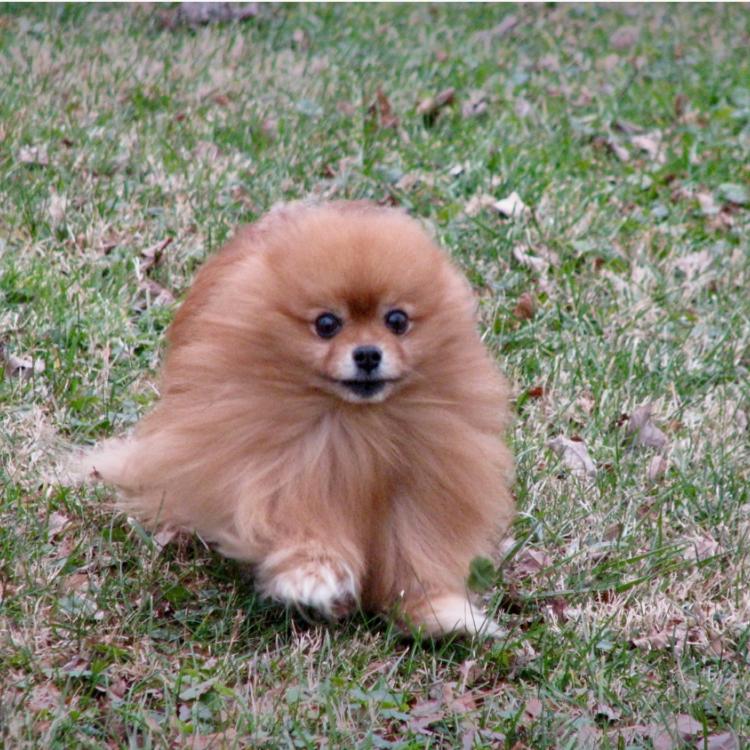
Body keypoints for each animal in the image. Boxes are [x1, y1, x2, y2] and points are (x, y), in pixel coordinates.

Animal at [85, 203, 516, 636]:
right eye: (327, 325)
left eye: (397, 321)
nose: (367, 354)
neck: (359, 423)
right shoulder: (289, 466)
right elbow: (300, 524)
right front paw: (313, 576)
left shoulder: (421, 486)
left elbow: (415, 549)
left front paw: (436, 610)